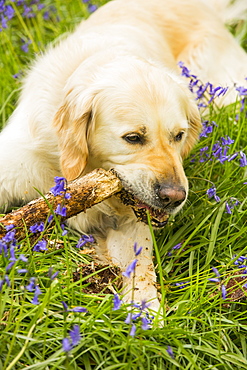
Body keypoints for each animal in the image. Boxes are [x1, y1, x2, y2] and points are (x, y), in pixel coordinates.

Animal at [0, 0, 246, 310]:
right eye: (133, 138)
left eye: (178, 136)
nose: (174, 197)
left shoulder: (131, 224)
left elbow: (140, 267)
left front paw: (146, 311)